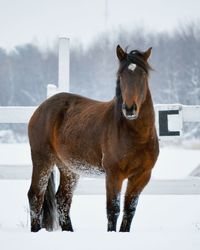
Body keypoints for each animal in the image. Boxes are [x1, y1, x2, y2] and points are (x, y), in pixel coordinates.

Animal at [27, 45, 159, 232]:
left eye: (143, 75)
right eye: (121, 75)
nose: (129, 109)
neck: (135, 136)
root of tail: (41, 108)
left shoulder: (141, 176)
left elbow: (129, 210)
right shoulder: (113, 175)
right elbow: (113, 210)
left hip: (69, 168)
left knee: (62, 199)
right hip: (42, 160)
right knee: (35, 196)